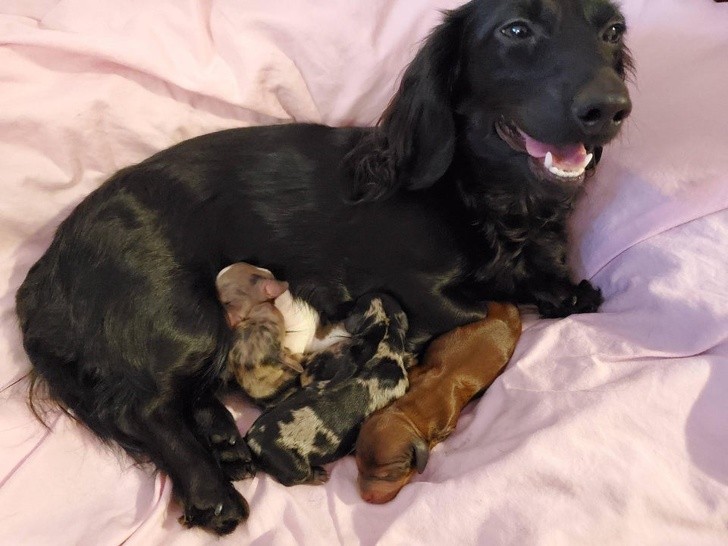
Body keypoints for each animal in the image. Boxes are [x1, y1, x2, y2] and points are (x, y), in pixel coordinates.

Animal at [354, 302, 520, 502]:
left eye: (388, 476)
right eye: (358, 466)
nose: (364, 497)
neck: (411, 411)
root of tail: (509, 308)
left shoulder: (447, 424)